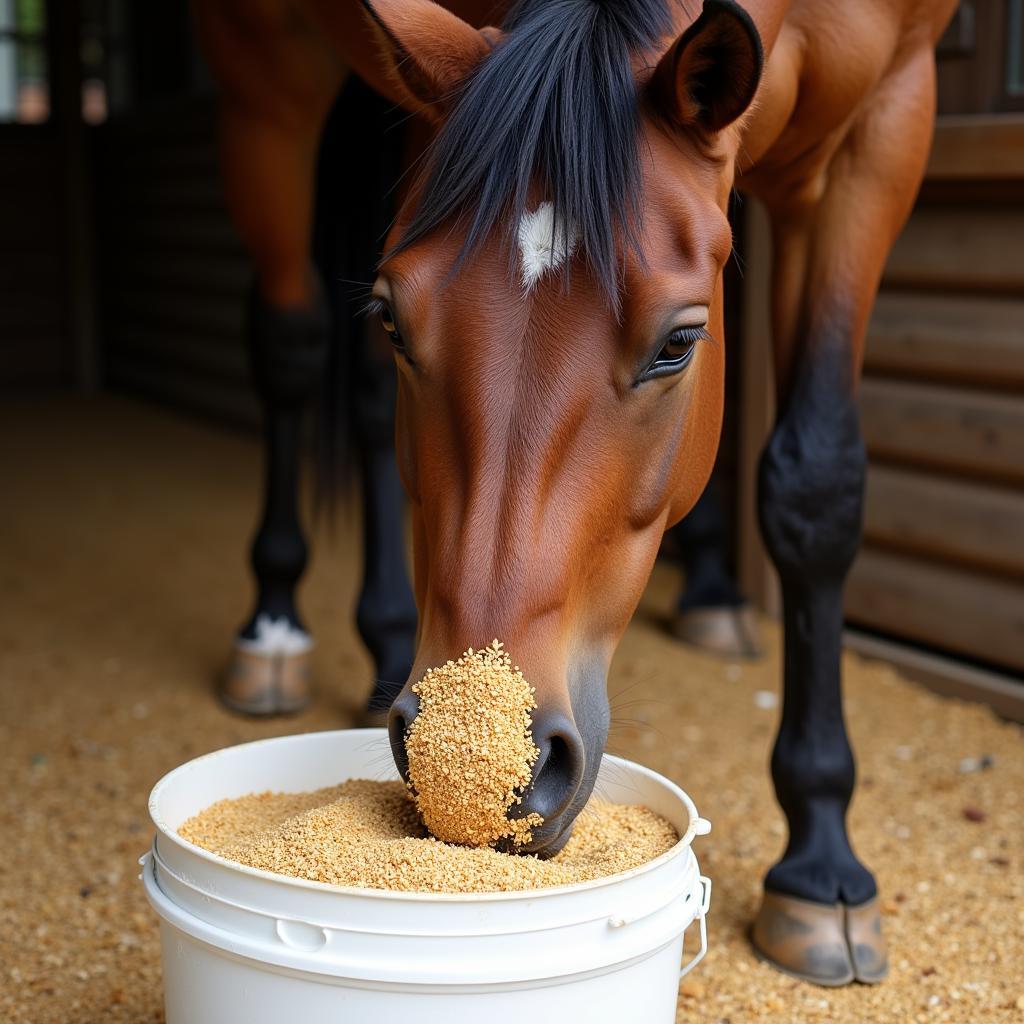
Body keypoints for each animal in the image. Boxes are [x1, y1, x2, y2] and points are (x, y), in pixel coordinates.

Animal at [195, 0, 954, 987]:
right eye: (396, 318)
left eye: (680, 343)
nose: (503, 775)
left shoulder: (884, 122)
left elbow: (816, 484)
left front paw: (822, 864)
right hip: (266, 76)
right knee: (290, 342)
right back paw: (276, 622)